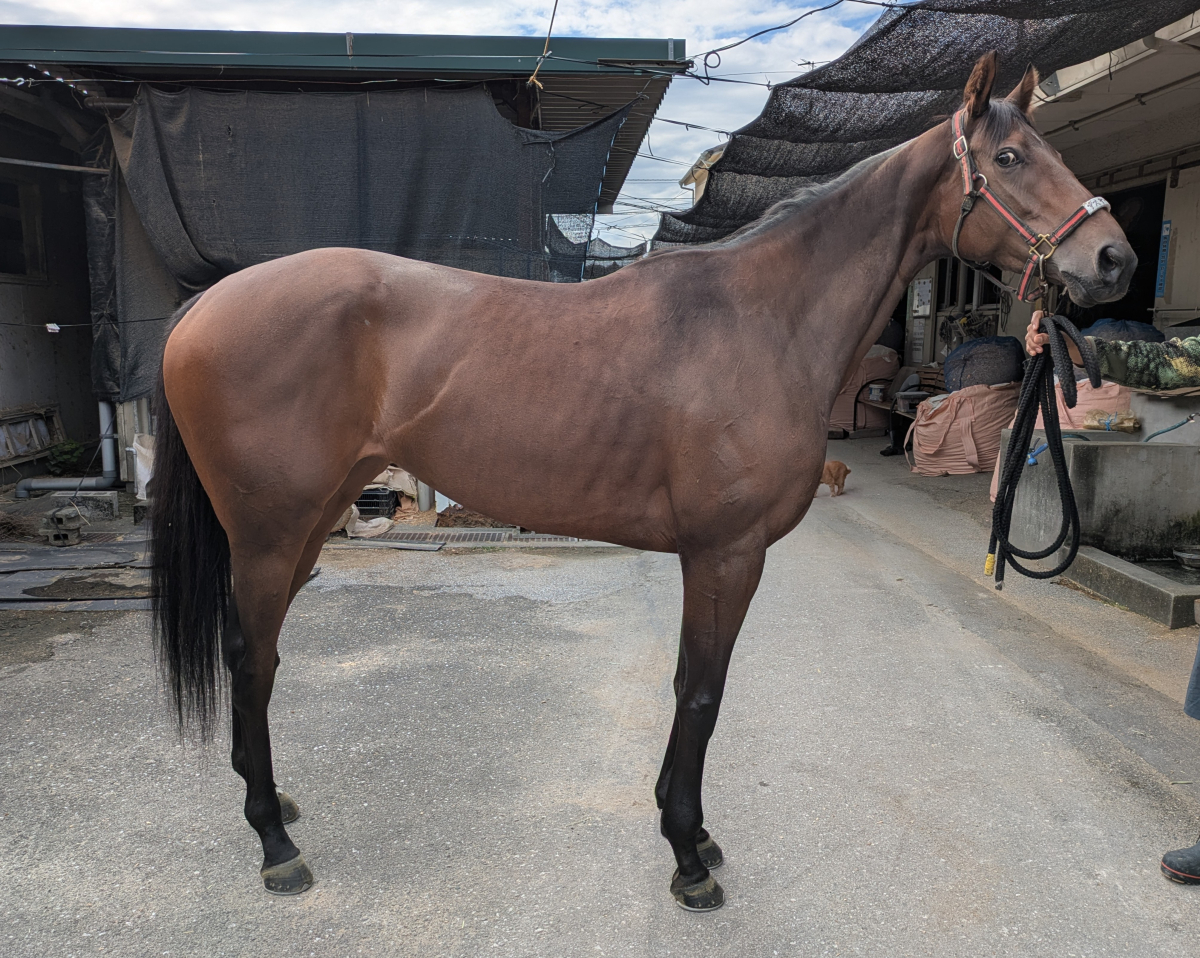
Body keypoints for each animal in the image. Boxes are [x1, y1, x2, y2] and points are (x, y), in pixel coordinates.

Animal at [150, 53, 1135, 911]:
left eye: (1049, 149)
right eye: (1009, 158)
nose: (1114, 261)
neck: (759, 320)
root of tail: (205, 306)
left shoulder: (715, 556)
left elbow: (689, 684)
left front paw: (688, 832)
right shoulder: (726, 553)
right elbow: (702, 692)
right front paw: (687, 859)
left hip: (313, 518)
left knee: (263, 657)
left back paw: (275, 805)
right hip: (269, 530)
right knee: (251, 655)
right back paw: (275, 843)